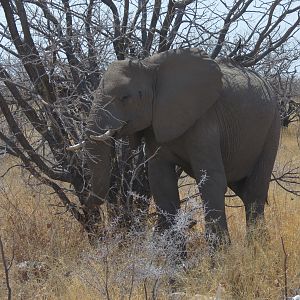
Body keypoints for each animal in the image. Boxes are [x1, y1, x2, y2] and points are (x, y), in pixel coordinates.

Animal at [69, 47, 280, 248]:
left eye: (125, 97)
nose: (84, 203)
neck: (149, 67)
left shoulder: (204, 119)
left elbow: (211, 180)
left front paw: (220, 255)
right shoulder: (155, 125)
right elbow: (161, 182)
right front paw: (177, 259)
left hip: (272, 126)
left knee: (254, 192)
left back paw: (257, 249)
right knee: (243, 190)